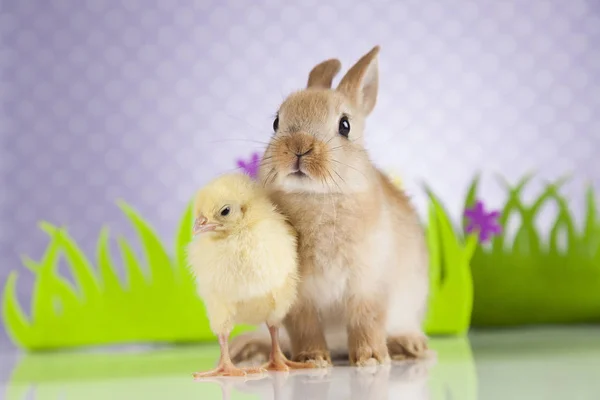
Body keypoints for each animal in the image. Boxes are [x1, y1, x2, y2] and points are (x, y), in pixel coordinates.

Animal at [230, 45, 432, 368]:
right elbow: (306, 327)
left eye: (345, 125)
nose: (298, 146)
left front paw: (371, 359)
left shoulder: (368, 284)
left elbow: (367, 322)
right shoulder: (298, 299)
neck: (317, 199)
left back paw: (409, 346)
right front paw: (313, 359)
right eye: (276, 122)